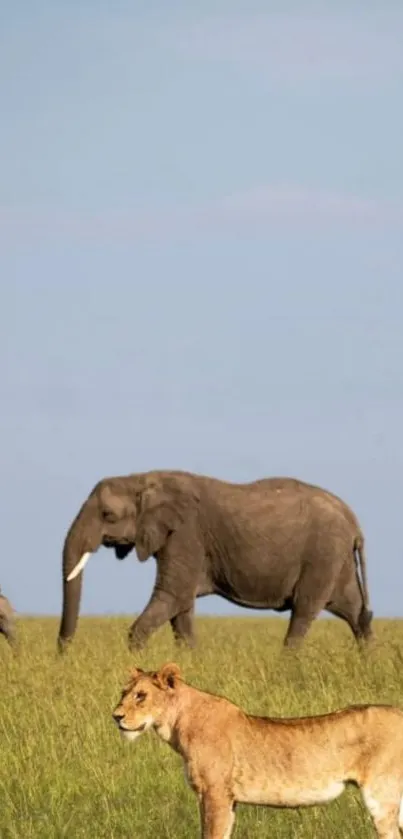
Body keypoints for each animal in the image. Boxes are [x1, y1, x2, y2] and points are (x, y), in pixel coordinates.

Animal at [57, 470, 376, 652]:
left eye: (107, 515)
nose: (64, 654)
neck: (142, 479)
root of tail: (352, 518)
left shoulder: (185, 535)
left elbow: (173, 596)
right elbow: (182, 609)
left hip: (322, 555)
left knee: (303, 612)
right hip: (337, 559)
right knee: (355, 610)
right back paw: (367, 662)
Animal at [112, 668, 403, 836]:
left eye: (141, 695)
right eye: (123, 693)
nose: (116, 716)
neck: (178, 722)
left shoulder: (214, 793)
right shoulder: (228, 799)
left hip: (381, 797)